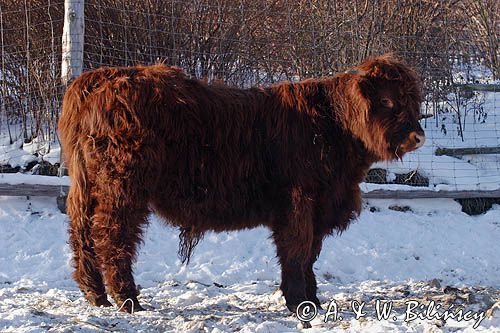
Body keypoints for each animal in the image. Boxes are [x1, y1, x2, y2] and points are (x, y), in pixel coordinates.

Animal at [58, 53, 426, 312]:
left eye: (413, 101)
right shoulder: (299, 203)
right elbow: (297, 251)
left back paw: (95, 294)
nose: (418, 136)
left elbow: (309, 254)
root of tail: (101, 78)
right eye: (388, 101)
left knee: (82, 234)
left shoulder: (319, 208)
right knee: (113, 237)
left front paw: (312, 298)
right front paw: (300, 301)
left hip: (88, 187)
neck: (332, 127)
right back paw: (127, 299)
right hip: (122, 189)